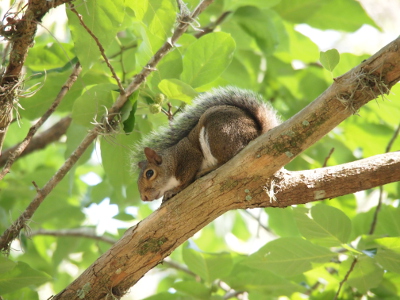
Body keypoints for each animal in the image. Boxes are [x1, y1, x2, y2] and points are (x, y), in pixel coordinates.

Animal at [133, 88, 280, 203]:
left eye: (149, 173)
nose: (144, 198)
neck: (172, 159)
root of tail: (257, 133)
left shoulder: (189, 156)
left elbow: (186, 178)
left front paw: (174, 190)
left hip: (221, 134)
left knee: (228, 159)